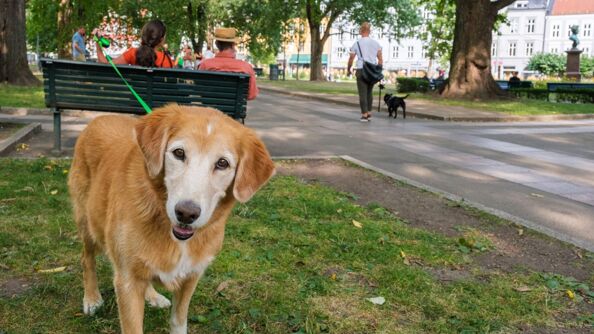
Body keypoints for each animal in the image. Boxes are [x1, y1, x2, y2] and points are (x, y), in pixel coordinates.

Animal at [69, 103, 276, 332]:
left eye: (222, 163)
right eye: (179, 153)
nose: (186, 213)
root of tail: (100, 117)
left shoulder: (191, 276)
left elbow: (178, 320)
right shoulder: (127, 281)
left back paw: (152, 296)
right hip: (87, 223)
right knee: (86, 259)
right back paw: (91, 298)